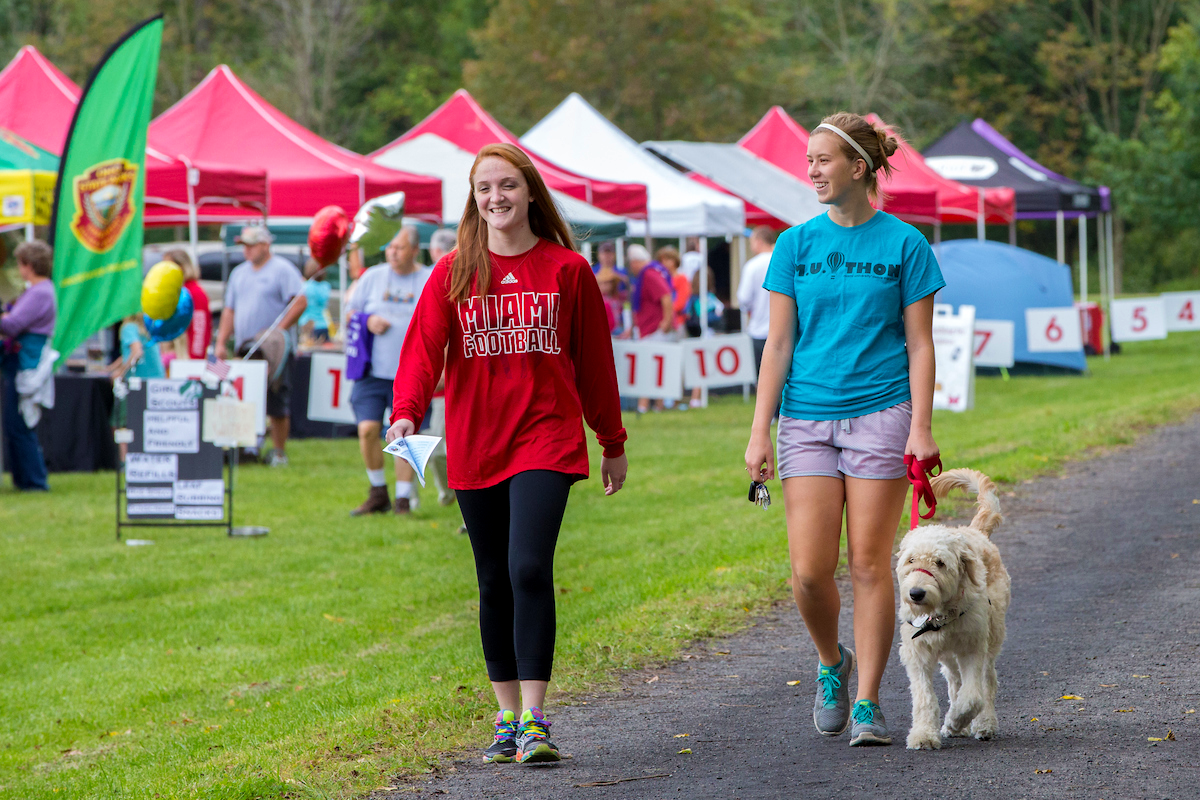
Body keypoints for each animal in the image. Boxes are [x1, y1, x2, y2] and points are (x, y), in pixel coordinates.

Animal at [897, 470, 1008, 753]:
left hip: (992, 634)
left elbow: (972, 697)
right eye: (911, 560)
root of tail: (973, 531)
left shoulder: (973, 647)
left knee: (987, 681)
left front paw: (955, 720)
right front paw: (924, 734)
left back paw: (984, 724)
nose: (916, 593)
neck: (940, 613)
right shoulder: (917, 651)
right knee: (954, 679)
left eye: (940, 563)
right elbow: (924, 697)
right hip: (948, 652)